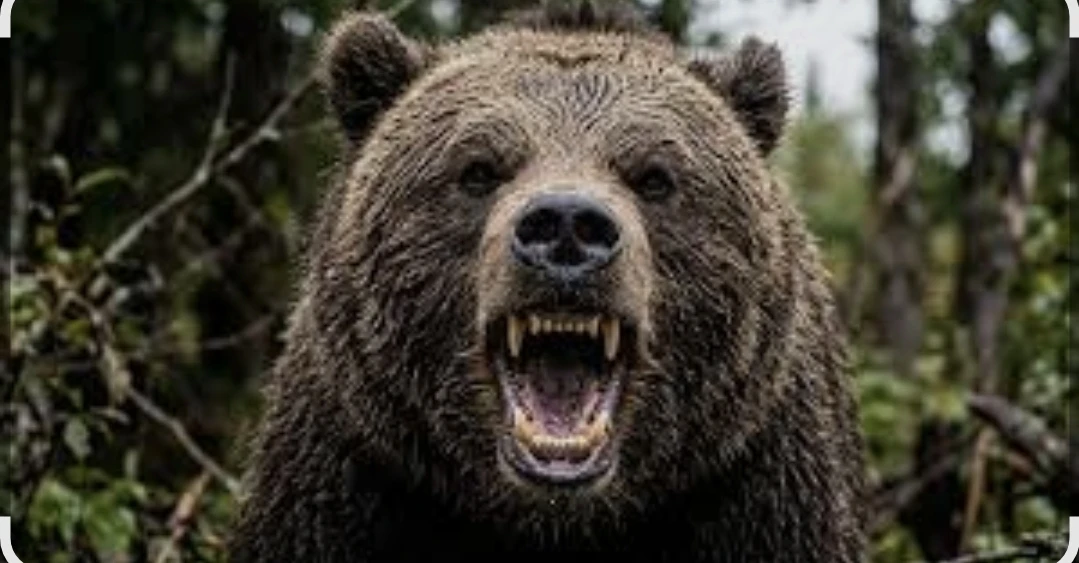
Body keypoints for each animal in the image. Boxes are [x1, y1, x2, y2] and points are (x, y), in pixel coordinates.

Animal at [230, 2, 867, 562]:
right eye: (478, 170)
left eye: (655, 177)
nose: (566, 227)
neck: (552, 517)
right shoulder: (350, 477)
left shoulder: (757, 487)